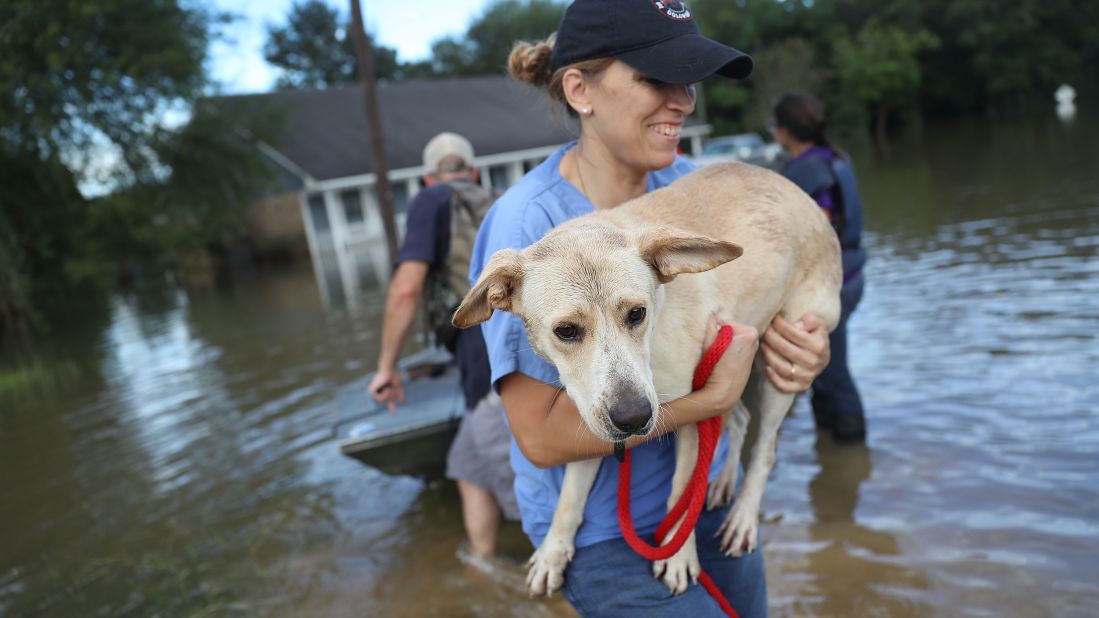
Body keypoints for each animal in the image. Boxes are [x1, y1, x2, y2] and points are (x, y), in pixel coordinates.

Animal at [452, 161, 839, 593]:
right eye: (566, 331)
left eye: (636, 313)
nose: (633, 417)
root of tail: (794, 189)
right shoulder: (592, 414)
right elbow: (569, 495)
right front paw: (553, 550)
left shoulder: (690, 411)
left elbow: (680, 493)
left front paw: (678, 554)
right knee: (737, 420)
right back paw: (722, 481)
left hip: (784, 362)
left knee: (765, 447)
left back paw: (742, 517)